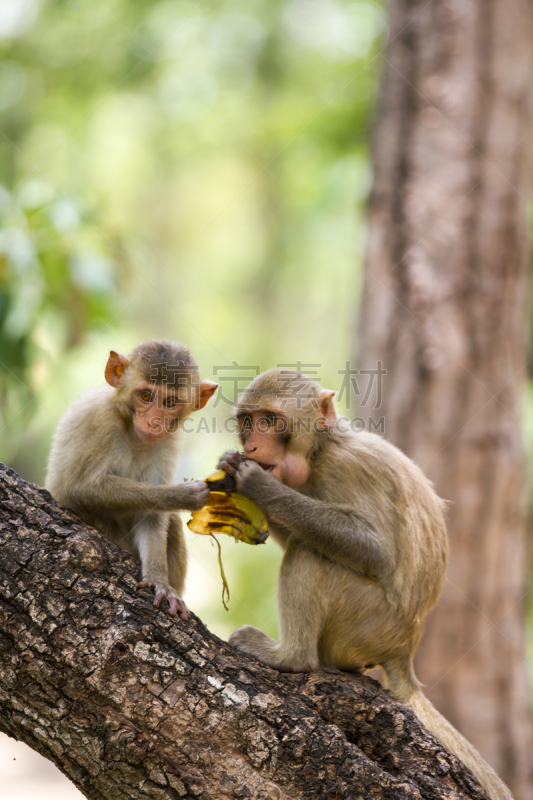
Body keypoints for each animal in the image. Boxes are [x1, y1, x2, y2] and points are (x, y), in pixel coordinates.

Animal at [46, 338, 217, 620]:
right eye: (146, 396)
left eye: (170, 403)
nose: (154, 422)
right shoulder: (99, 420)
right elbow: (82, 488)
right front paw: (182, 495)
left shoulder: (169, 442)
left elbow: (152, 516)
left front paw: (159, 581)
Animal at [218, 368, 512, 800]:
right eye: (248, 421)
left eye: (270, 420)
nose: (252, 444)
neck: (320, 451)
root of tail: (406, 647)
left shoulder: (347, 467)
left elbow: (375, 552)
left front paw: (259, 488)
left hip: (367, 619)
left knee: (310, 554)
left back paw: (291, 657)